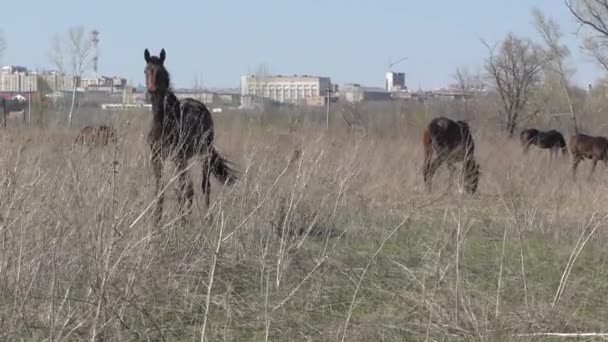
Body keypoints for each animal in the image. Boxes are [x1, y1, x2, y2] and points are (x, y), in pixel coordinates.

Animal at [143, 48, 238, 224]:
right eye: (146, 71)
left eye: (161, 72)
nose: (151, 91)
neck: (164, 122)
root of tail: (201, 106)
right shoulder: (157, 157)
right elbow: (160, 190)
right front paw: (156, 221)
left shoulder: (178, 157)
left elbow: (181, 190)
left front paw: (180, 222)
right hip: (185, 159)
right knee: (189, 188)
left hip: (202, 155)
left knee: (203, 186)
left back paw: (206, 219)